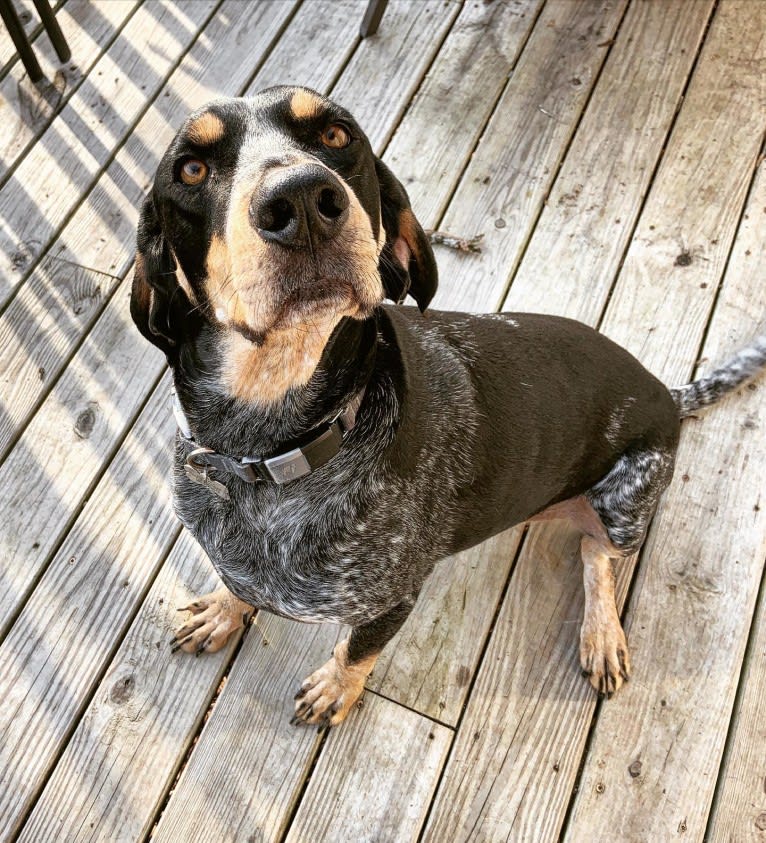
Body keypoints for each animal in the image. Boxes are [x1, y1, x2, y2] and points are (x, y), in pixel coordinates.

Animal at [132, 87, 766, 732]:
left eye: (336, 135)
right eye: (191, 170)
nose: (303, 199)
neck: (270, 452)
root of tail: (665, 389)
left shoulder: (392, 599)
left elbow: (356, 652)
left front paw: (336, 688)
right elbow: (238, 585)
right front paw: (223, 610)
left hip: (626, 507)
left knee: (597, 553)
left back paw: (602, 635)